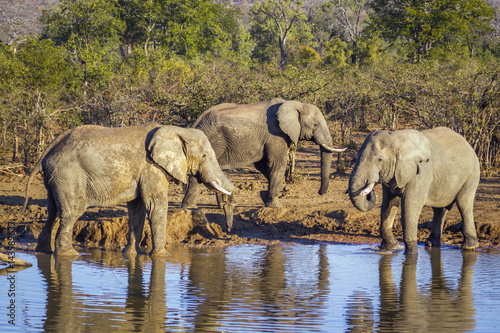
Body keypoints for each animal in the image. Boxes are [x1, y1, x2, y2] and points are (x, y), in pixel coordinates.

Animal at [23, 123, 234, 255]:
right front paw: (161, 256)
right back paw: (69, 255)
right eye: (205, 156)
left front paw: (133, 254)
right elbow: (156, 206)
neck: (176, 130)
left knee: (53, 211)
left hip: (55, 178)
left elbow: (138, 208)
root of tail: (47, 151)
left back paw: (44, 251)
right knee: (70, 212)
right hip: (69, 176)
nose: (229, 231)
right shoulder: (151, 168)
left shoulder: (144, 172)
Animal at [182, 97, 346, 230]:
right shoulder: (276, 134)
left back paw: (221, 205)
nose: (320, 193)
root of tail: (196, 121)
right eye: (316, 125)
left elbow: (263, 166)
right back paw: (190, 207)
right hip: (212, 138)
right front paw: (276, 205)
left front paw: (264, 196)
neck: (294, 104)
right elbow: (276, 164)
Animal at [348, 127, 480, 254]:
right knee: (439, 209)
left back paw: (470, 247)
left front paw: (410, 254)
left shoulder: (422, 172)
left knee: (464, 205)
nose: (368, 190)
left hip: (471, 175)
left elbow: (409, 207)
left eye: (379, 159)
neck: (397, 138)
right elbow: (388, 205)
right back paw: (431, 244)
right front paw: (392, 247)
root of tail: (468, 144)